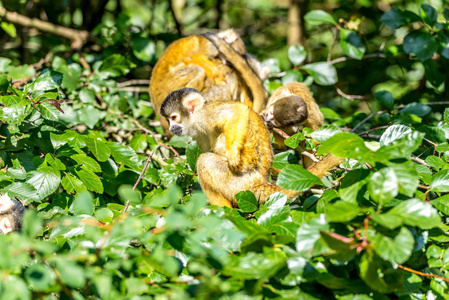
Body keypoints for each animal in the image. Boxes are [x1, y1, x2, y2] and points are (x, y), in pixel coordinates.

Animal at [159, 88, 296, 207]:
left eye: (174, 117)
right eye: (169, 120)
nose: (171, 128)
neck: (195, 119)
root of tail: (260, 183)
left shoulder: (205, 115)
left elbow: (236, 111)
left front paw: (232, 154)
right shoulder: (198, 133)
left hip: (239, 185)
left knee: (205, 161)